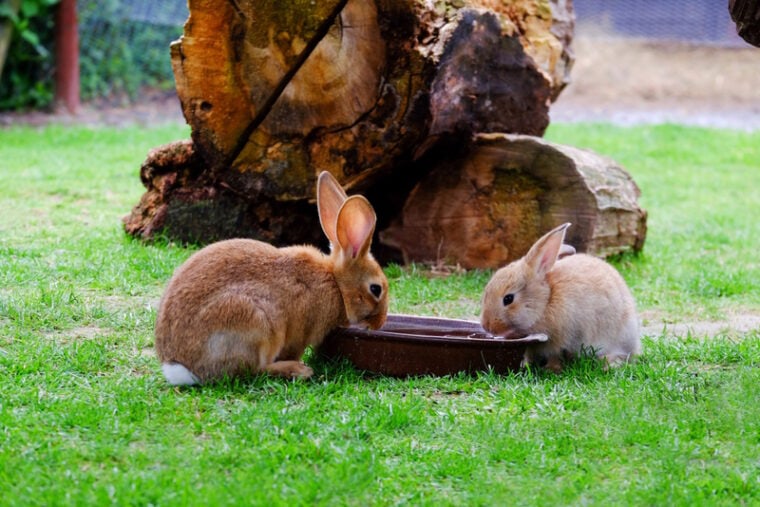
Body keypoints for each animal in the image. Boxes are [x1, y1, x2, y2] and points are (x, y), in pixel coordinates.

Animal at [154, 171, 389, 385]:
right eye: (375, 289)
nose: (380, 323)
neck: (336, 284)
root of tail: (180, 367)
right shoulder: (301, 333)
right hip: (257, 324)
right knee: (254, 370)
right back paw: (298, 370)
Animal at [480, 223, 641, 373]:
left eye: (508, 299)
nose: (487, 326)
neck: (546, 302)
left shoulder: (562, 339)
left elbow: (555, 355)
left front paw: (552, 368)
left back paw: (608, 365)